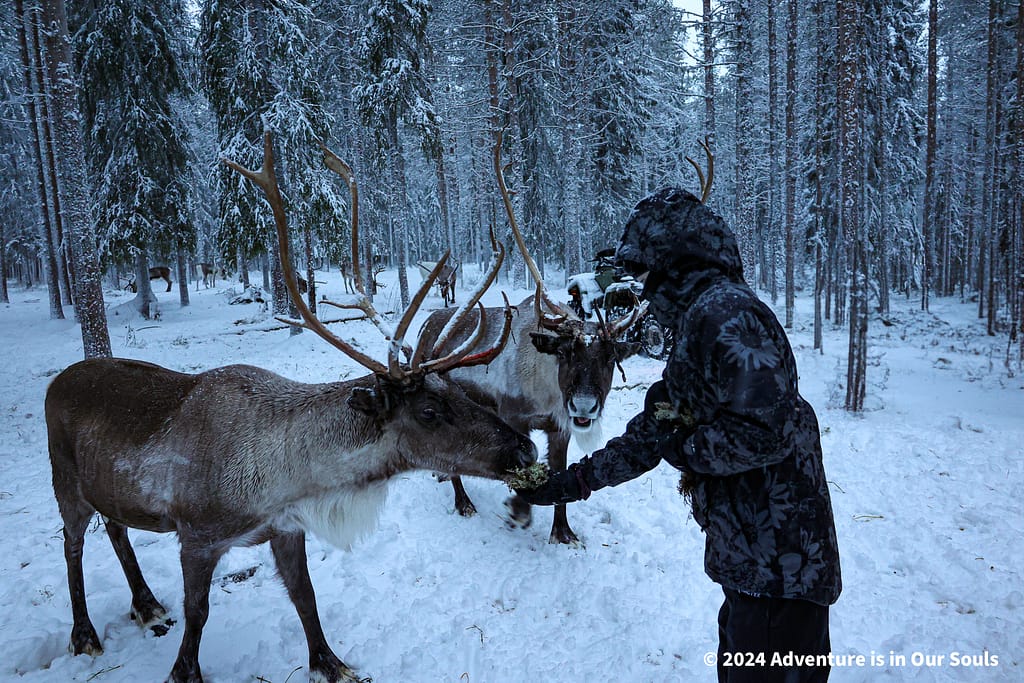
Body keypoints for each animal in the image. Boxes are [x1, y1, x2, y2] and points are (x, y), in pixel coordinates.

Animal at [45, 132, 534, 683]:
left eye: (461, 393)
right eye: (429, 411)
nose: (526, 448)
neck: (283, 478)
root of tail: (57, 381)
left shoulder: (286, 526)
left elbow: (305, 597)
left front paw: (330, 663)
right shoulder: (197, 536)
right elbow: (198, 613)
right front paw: (183, 671)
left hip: (104, 485)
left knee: (116, 527)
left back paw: (147, 605)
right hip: (65, 480)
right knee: (72, 545)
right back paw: (84, 633)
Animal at [417, 133, 643, 545]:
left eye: (609, 358)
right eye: (565, 354)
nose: (584, 406)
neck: (545, 388)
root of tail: (425, 329)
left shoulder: (560, 426)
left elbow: (559, 473)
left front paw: (562, 532)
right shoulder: (514, 418)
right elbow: (525, 463)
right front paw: (520, 510)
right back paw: (463, 502)